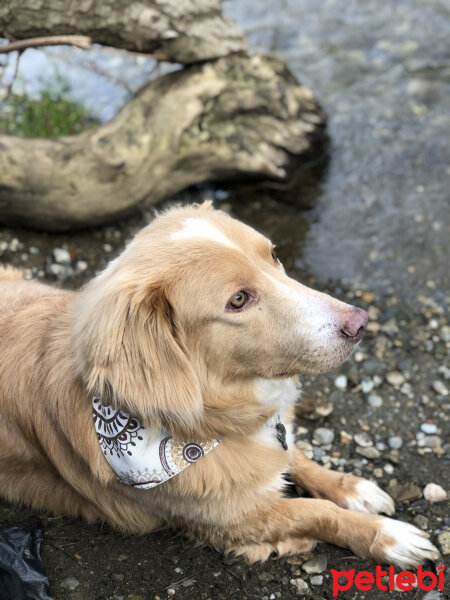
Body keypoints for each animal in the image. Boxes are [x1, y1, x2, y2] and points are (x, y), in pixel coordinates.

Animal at [0, 203, 438, 568]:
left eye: (274, 255)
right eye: (239, 300)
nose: (359, 323)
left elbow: (297, 456)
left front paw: (354, 488)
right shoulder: (233, 521)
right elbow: (316, 512)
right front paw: (387, 537)